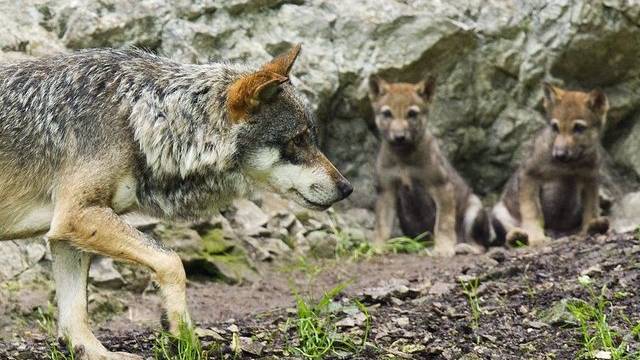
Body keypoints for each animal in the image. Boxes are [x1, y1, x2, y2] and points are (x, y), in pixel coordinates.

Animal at [0, 44, 352, 358]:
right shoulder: (77, 215)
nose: (346, 188)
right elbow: (172, 261)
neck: (139, 117)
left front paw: (98, 353)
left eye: (312, 139)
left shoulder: (66, 236)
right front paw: (181, 332)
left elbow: (75, 319)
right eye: (297, 140)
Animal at [368, 77, 492, 258]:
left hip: (473, 210)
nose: (399, 137)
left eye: (412, 114)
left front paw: (444, 248)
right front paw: (377, 248)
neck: (403, 158)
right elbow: (381, 225)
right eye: (387, 114)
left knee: (481, 246)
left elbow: (443, 223)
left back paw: (462, 247)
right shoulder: (386, 191)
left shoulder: (441, 187)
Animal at [490, 83, 608, 246]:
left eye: (578, 128)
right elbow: (533, 212)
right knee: (508, 236)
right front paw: (536, 237)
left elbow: (591, 210)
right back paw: (517, 236)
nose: (559, 154)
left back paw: (593, 228)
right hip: (499, 212)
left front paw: (591, 224)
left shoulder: (591, 181)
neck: (568, 167)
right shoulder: (528, 177)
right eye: (555, 127)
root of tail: (557, 232)